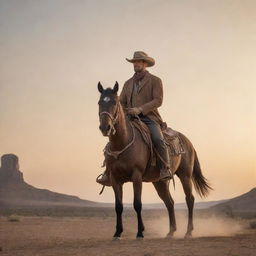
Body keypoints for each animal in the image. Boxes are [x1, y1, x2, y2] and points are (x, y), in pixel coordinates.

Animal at [97, 81, 213, 240]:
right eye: (99, 103)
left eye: (114, 102)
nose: (105, 127)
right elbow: (118, 206)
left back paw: (188, 231)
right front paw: (117, 233)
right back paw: (171, 231)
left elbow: (137, 204)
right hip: (160, 182)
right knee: (169, 202)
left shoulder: (137, 176)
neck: (122, 143)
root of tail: (188, 142)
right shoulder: (115, 179)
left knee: (189, 199)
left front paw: (140, 232)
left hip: (185, 175)